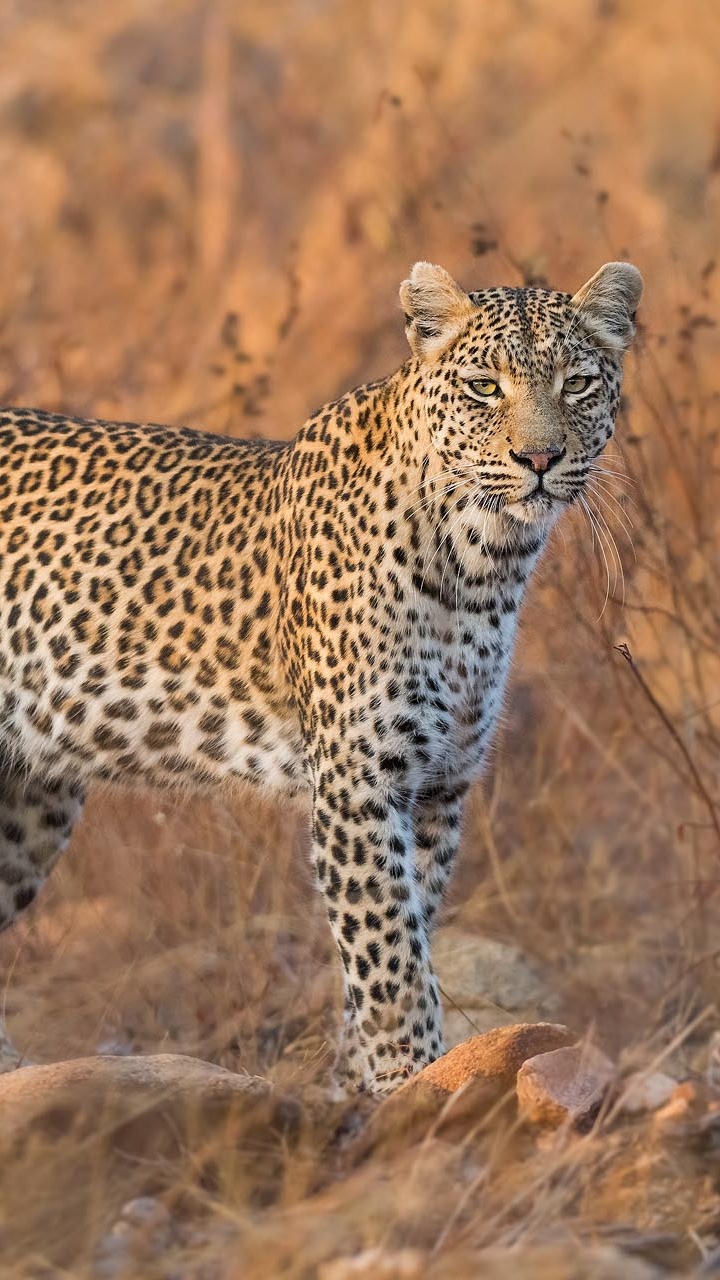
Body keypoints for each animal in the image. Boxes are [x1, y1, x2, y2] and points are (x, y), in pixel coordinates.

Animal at [0, 259, 642, 1093]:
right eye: (483, 387)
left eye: (578, 383)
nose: (540, 460)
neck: (484, 566)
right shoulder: (359, 781)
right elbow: (391, 960)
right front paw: (414, 1085)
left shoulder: (439, 788)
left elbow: (406, 940)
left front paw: (362, 1089)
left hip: (30, 802)